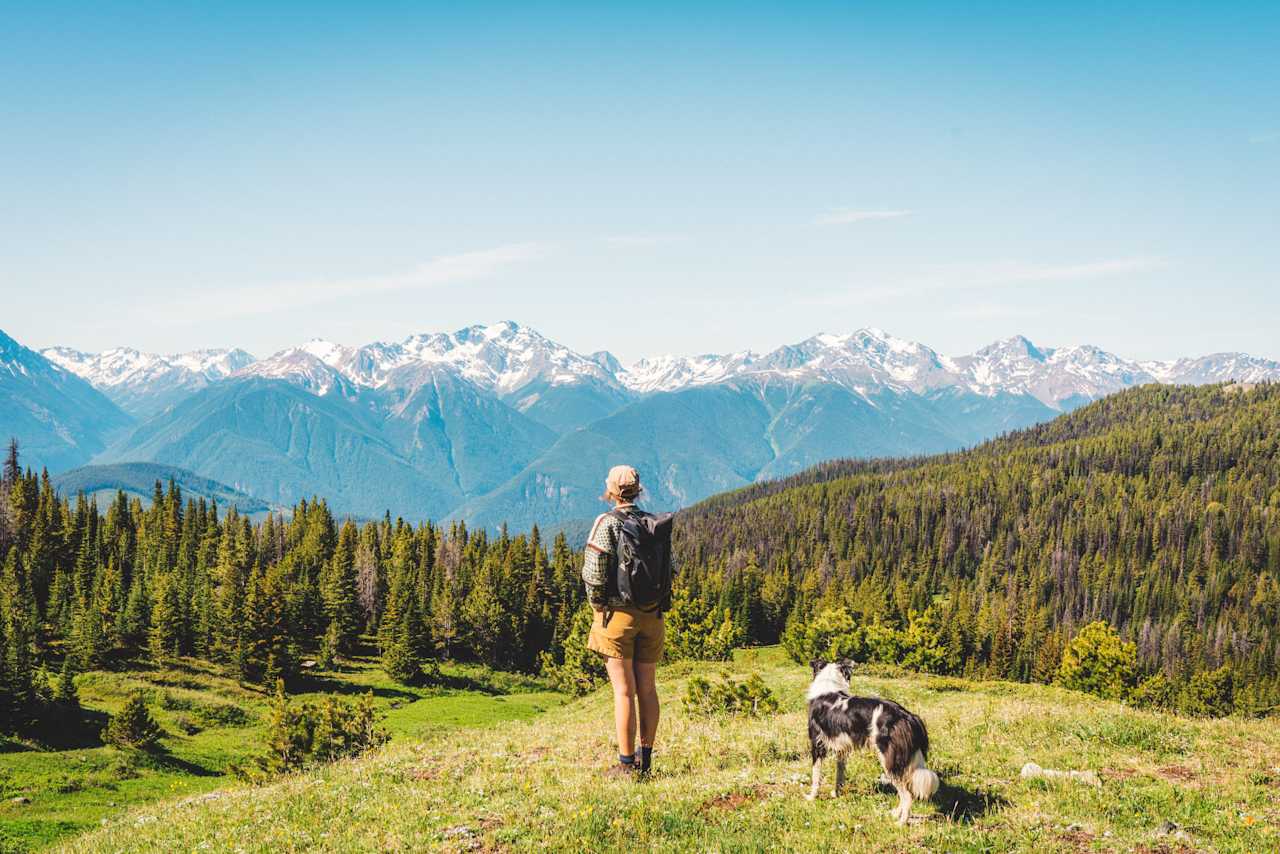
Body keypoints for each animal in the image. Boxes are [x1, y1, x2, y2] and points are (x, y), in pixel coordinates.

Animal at [808, 660, 942, 824]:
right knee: (905, 791)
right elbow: (839, 775)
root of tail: (908, 716)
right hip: (901, 761)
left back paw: (901, 822)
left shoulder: (817, 744)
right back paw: (895, 814)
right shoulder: (842, 749)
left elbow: (815, 777)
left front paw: (811, 797)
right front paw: (836, 794)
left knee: (907, 795)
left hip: (888, 760)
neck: (829, 686)